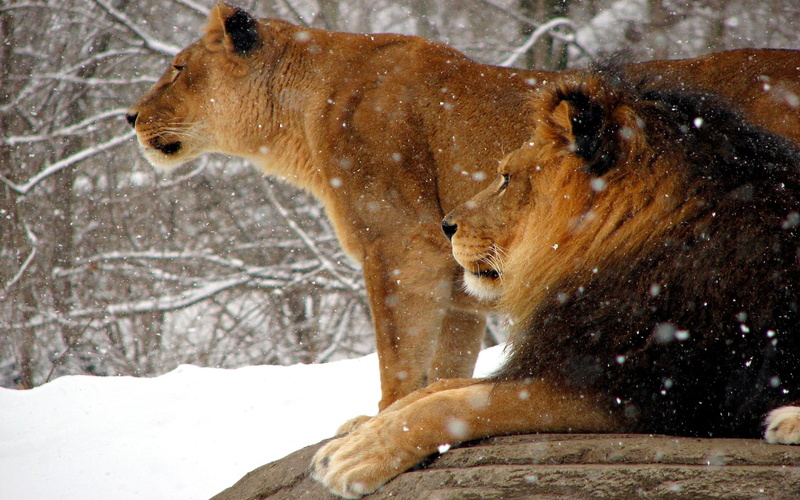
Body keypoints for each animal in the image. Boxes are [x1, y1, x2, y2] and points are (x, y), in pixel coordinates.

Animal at [126, 2, 800, 411]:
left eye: (178, 68)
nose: (130, 116)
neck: (302, 112)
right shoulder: (460, 284)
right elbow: (447, 370)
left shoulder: (403, 248)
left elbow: (398, 366)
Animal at [310, 69, 800, 498]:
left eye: (507, 178)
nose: (446, 225)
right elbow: (439, 387)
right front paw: (355, 431)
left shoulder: (634, 388)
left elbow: (458, 404)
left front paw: (357, 456)